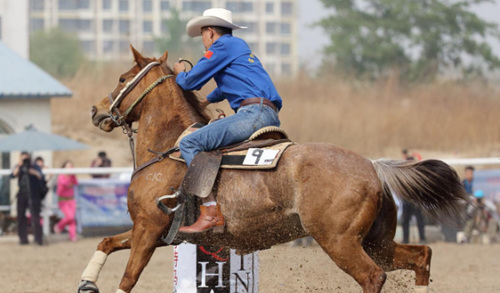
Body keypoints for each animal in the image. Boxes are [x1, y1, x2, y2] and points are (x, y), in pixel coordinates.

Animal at [82, 46, 468, 292]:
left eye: (122, 78)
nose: (96, 110)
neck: (168, 147)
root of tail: (373, 167)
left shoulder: (148, 229)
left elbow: (128, 278)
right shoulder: (153, 231)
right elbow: (105, 241)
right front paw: (86, 282)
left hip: (340, 241)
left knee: (373, 277)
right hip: (376, 242)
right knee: (421, 256)